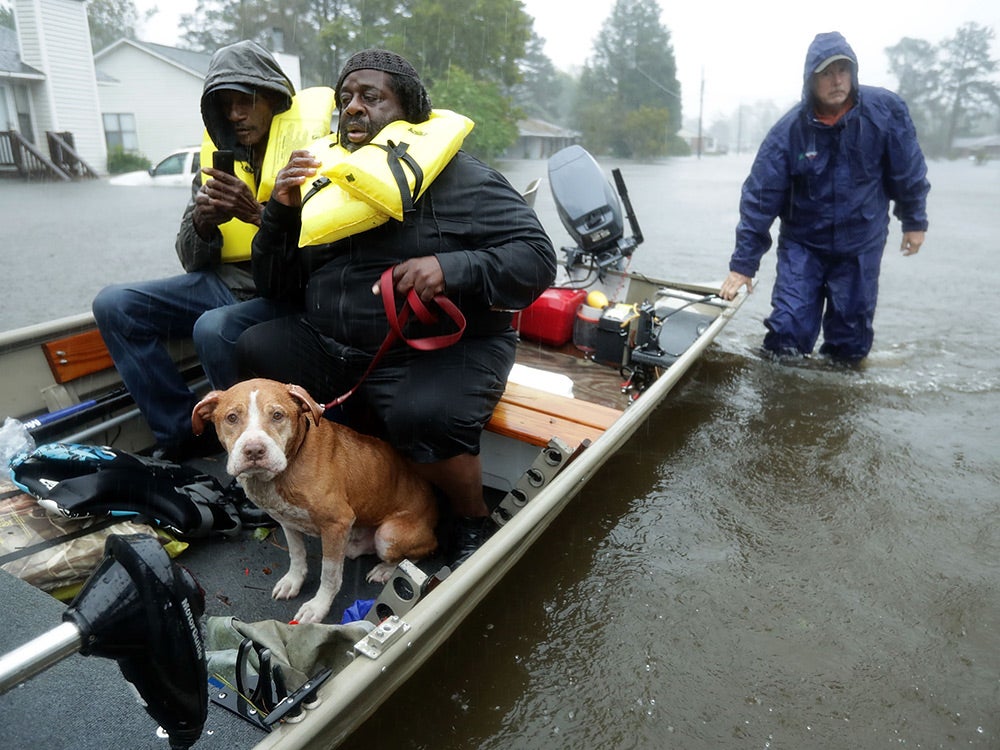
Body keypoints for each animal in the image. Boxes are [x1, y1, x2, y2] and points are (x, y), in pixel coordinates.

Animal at [193, 378, 440, 624]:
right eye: (231, 417)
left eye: (277, 415)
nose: (254, 450)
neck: (288, 466)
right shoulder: (287, 520)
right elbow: (296, 554)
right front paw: (293, 581)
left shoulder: (336, 522)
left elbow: (329, 574)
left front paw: (318, 607)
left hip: (388, 535)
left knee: (420, 553)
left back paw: (387, 570)